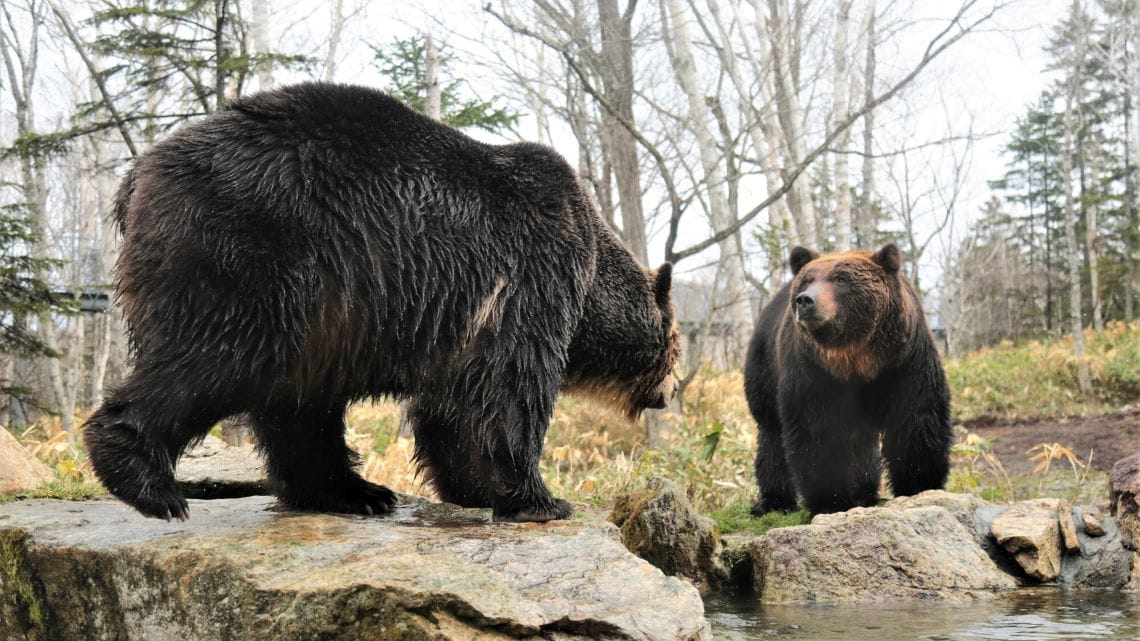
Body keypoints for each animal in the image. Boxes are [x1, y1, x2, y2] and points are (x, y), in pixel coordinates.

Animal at [86, 82, 684, 522]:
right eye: (676, 349)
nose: (672, 391)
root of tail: (136, 176)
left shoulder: (464, 316)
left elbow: (452, 406)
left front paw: (473, 489)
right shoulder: (533, 270)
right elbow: (509, 386)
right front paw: (542, 499)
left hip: (317, 310)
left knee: (299, 404)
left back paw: (356, 492)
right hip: (250, 250)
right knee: (219, 356)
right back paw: (148, 482)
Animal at [747, 242, 953, 513]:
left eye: (841, 279)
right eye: (808, 281)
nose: (805, 300)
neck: (856, 357)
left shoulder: (904, 361)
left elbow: (916, 418)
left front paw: (920, 484)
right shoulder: (812, 372)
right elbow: (816, 431)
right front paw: (831, 500)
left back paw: (865, 492)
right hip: (765, 366)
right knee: (771, 431)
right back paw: (773, 501)